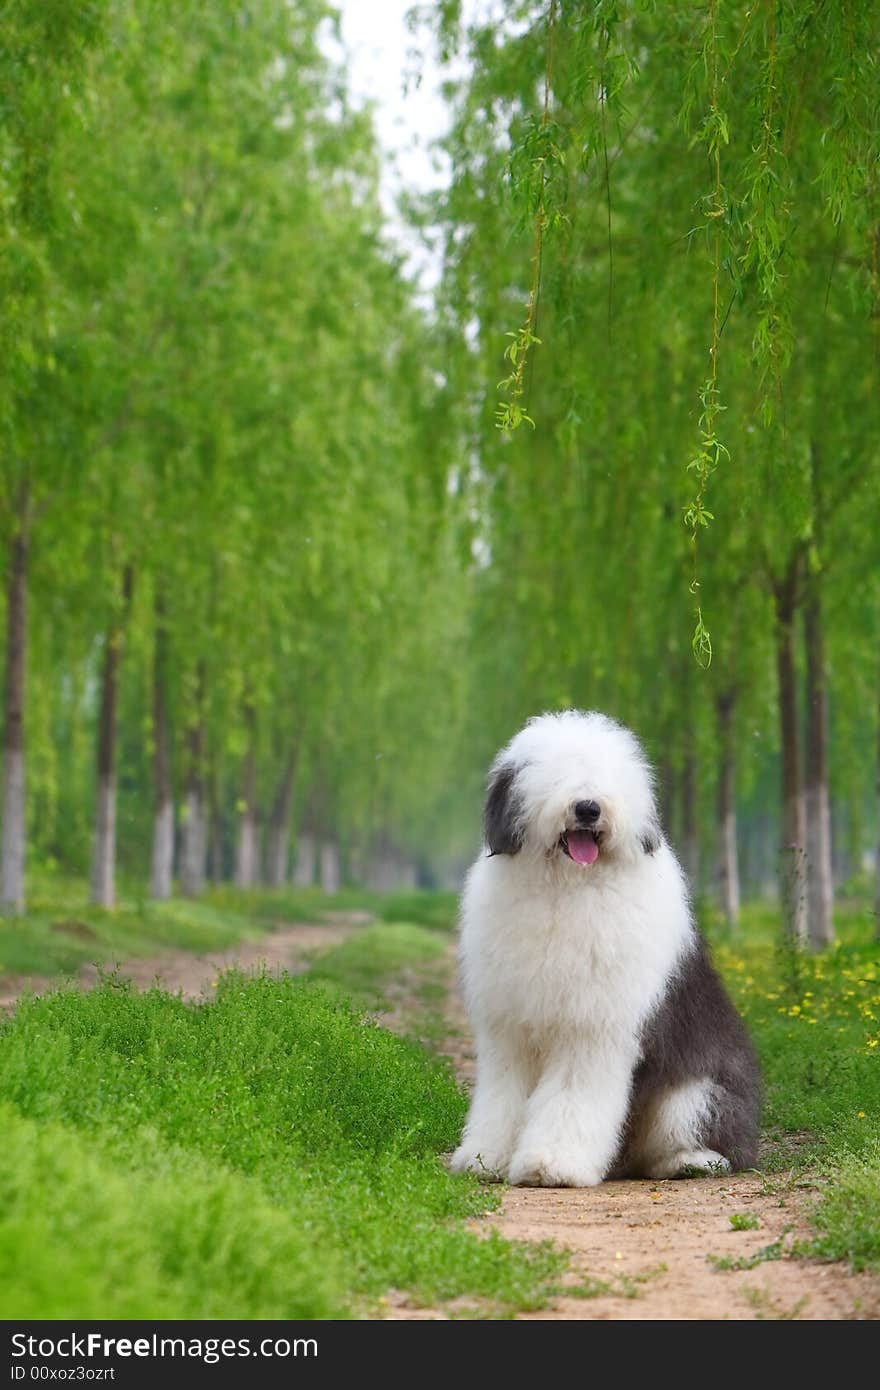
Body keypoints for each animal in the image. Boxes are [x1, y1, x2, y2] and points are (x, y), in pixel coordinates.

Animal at [450, 717, 756, 1184]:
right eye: (555, 774)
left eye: (609, 777)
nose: (588, 808)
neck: (568, 888)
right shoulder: (510, 1027)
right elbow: (503, 1094)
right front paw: (487, 1157)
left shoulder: (592, 1025)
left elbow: (571, 1095)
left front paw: (551, 1164)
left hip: (696, 1091)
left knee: (703, 1133)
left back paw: (691, 1160)